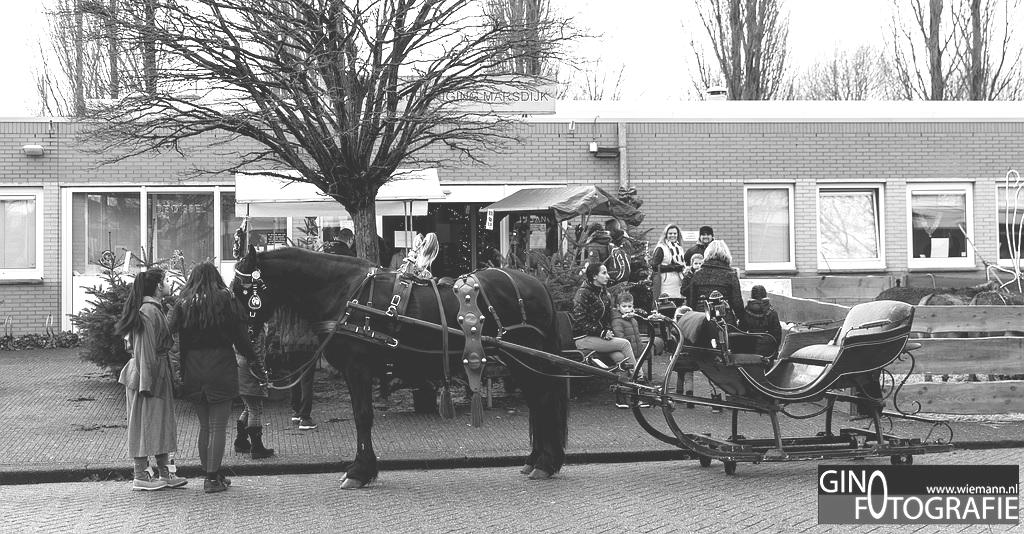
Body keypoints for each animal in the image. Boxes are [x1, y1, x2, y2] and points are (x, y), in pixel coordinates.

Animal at [232, 245, 569, 487]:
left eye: (243, 290)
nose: (241, 342)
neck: (345, 294)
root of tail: (536, 282)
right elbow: (362, 416)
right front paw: (362, 469)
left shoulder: (358, 368)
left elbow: (362, 417)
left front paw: (359, 471)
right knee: (538, 403)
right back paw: (536, 460)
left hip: (526, 358)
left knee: (542, 401)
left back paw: (543, 463)